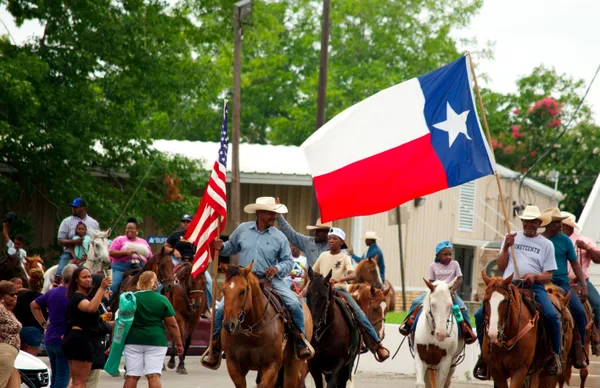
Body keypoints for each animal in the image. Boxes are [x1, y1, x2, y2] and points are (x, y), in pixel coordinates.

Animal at [220, 260, 314, 388]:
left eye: (242, 291)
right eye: (224, 290)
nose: (228, 324)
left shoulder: (271, 366)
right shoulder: (234, 366)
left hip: (293, 364)